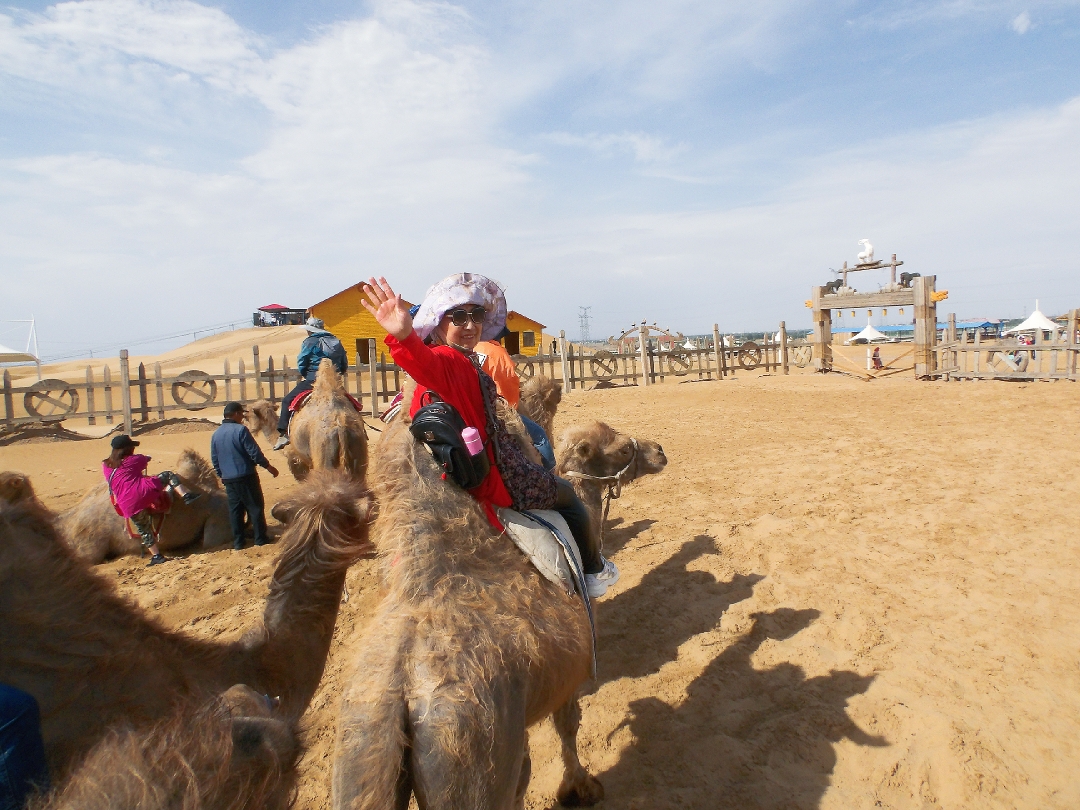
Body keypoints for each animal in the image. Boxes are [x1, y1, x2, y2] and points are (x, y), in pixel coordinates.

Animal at [328, 390, 665, 807]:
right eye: (621, 448)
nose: (658, 450)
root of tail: (400, 705)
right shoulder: (572, 668)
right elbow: (567, 726)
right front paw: (580, 787)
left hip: (358, 760)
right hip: (469, 761)